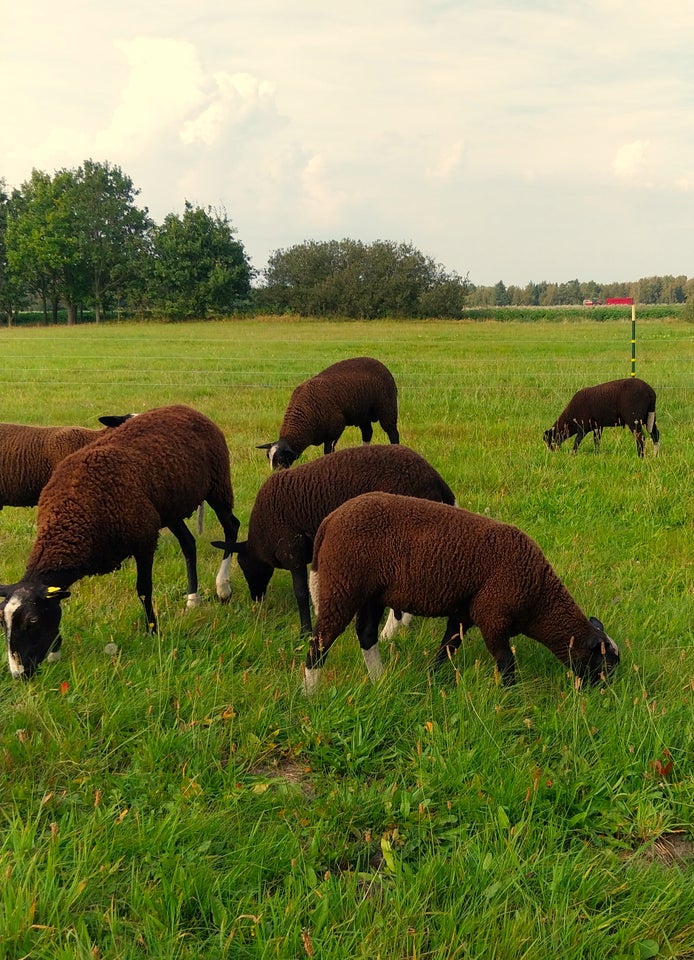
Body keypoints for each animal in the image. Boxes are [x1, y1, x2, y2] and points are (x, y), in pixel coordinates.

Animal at [215, 442, 460, 636]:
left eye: (244, 566)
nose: (256, 598)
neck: (262, 536)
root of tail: (434, 478)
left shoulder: (292, 549)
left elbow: (300, 593)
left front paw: (305, 632)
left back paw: (388, 633)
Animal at [304, 496, 620, 688]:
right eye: (603, 663)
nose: (605, 693)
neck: (539, 599)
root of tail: (330, 521)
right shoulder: (492, 615)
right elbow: (506, 662)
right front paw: (512, 697)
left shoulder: (465, 613)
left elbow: (447, 648)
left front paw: (430, 680)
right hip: (343, 585)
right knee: (321, 639)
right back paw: (310, 691)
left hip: (372, 593)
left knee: (366, 633)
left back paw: (379, 680)